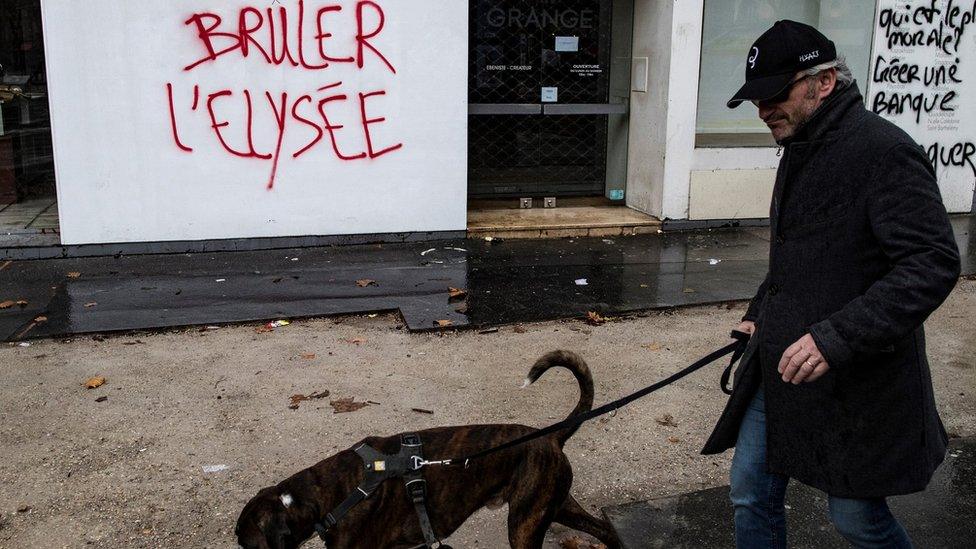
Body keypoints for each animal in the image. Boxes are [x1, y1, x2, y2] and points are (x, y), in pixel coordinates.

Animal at [235, 352, 616, 548]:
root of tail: (549, 437)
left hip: (525, 522)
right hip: (554, 505)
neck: (324, 496)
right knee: (603, 529)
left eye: (245, 542)